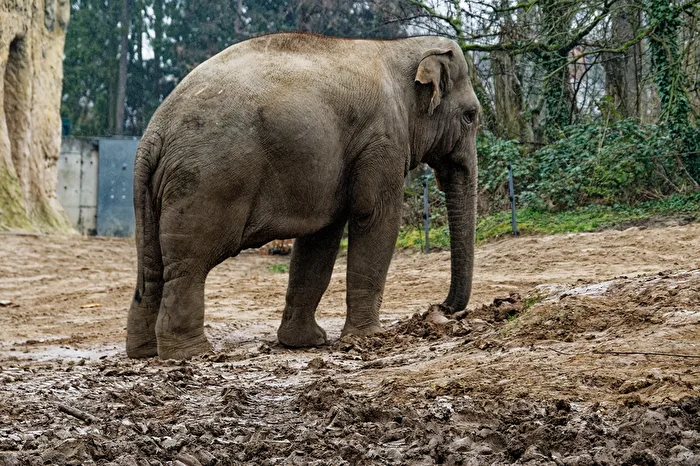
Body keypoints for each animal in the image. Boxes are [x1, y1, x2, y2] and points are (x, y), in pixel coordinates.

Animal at [126, 32, 480, 360]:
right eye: (471, 115)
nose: (442, 308)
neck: (400, 47)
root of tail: (155, 133)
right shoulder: (382, 140)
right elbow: (375, 218)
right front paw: (369, 337)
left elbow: (319, 242)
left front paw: (306, 342)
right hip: (207, 180)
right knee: (189, 266)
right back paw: (192, 353)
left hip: (155, 191)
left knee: (152, 268)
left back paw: (145, 352)